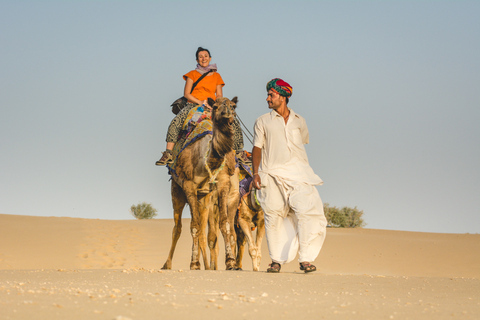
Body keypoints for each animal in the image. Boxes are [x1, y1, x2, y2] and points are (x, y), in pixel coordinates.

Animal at [162, 97, 240, 270]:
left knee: (206, 232)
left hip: (204, 198)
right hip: (177, 189)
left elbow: (224, 224)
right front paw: (194, 263)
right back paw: (167, 264)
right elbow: (194, 226)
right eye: (216, 106)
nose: (227, 113)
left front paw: (230, 261)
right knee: (178, 228)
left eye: (233, 106)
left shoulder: (223, 184)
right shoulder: (188, 185)